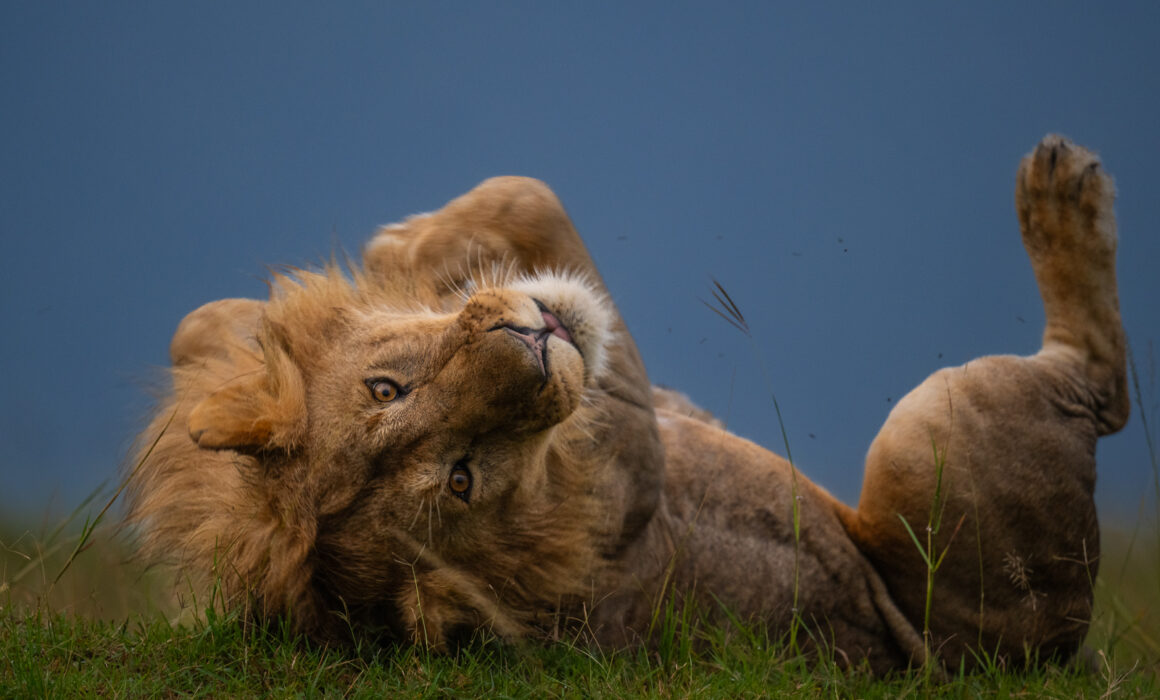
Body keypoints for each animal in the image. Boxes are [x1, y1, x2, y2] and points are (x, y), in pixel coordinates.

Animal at [126, 135, 1127, 673]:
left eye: (389, 389)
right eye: (462, 479)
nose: (530, 344)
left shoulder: (199, 339)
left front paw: (406, 253)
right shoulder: (626, 448)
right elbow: (535, 204)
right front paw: (422, 246)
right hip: (945, 427)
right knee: (1100, 391)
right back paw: (1060, 194)